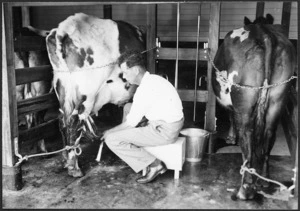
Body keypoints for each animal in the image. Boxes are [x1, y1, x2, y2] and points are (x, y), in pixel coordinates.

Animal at [44, 13, 146, 177]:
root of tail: (63, 28)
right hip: (86, 93)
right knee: (74, 122)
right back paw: (74, 167)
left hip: (63, 88)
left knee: (62, 120)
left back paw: (66, 158)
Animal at [212, 14, 296, 199]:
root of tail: (264, 34)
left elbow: (230, 117)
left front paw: (231, 137)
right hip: (278, 97)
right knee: (269, 134)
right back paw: (264, 179)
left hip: (243, 98)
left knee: (247, 136)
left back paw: (244, 187)